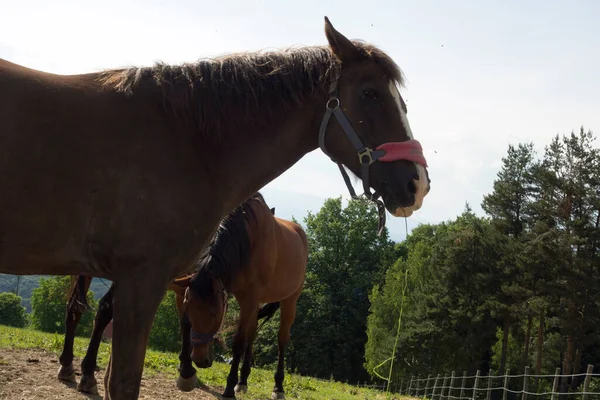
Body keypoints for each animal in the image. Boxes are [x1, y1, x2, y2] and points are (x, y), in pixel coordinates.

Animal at [172, 192, 304, 398]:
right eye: (191, 307)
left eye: (214, 313)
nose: (200, 359)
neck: (246, 241)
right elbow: (185, 325)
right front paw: (186, 373)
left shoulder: (249, 300)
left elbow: (238, 343)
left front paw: (228, 389)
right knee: (252, 332)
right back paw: (243, 381)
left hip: (289, 301)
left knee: (282, 339)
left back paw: (278, 387)